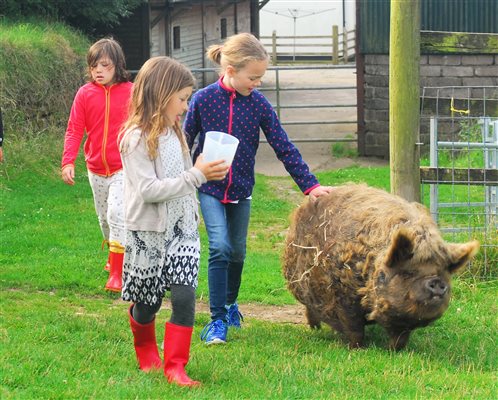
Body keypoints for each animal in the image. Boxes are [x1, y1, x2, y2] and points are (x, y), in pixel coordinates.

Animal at [282, 184, 480, 350]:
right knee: (310, 309)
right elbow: (354, 329)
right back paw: (315, 329)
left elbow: (400, 337)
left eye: (443, 272)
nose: (437, 282)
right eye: (408, 272)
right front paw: (357, 349)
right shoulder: (343, 297)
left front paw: (394, 351)